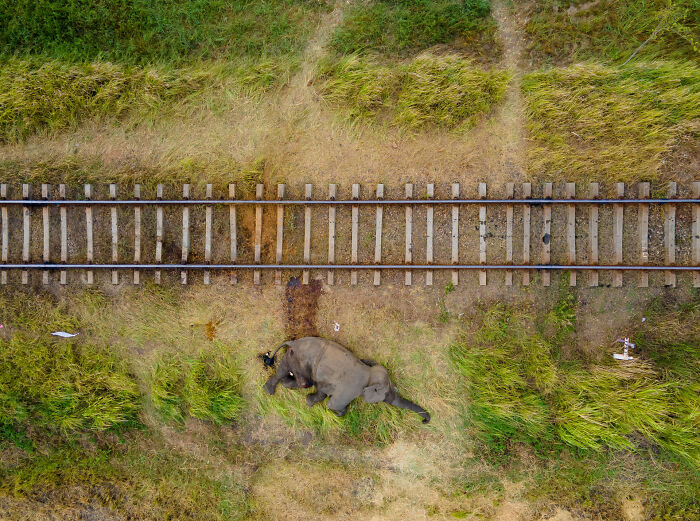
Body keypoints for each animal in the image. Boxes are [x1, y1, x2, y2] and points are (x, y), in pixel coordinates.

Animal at [263, 337, 430, 423]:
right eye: (386, 397)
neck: (369, 373)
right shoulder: (350, 390)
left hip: (294, 357)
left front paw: (309, 402)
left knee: (299, 379)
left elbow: (323, 391)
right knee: (292, 375)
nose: (423, 421)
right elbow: (333, 404)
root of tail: (292, 342)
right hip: (296, 357)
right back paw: (269, 391)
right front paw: (336, 413)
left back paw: (284, 385)